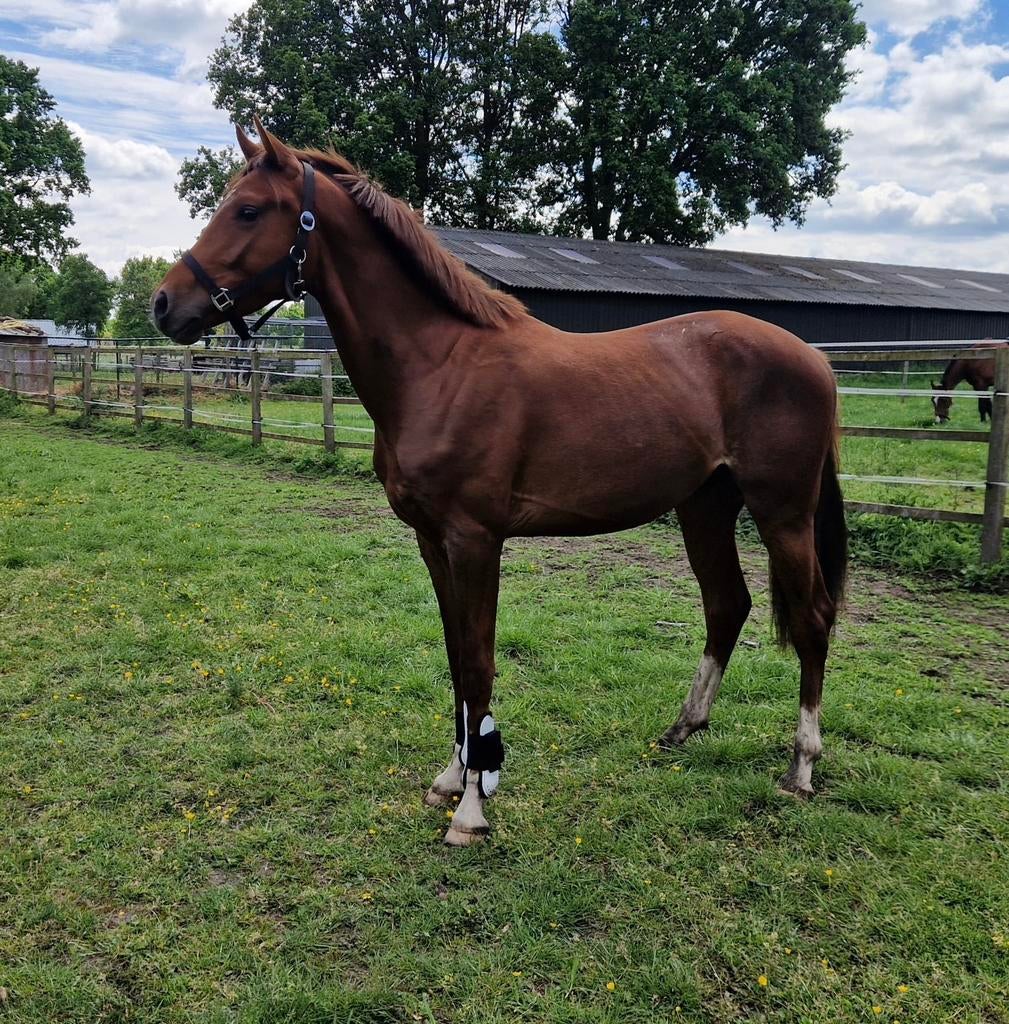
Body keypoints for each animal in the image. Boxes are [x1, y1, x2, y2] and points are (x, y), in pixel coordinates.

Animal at [152, 119, 847, 846]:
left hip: (782, 512)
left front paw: (472, 809)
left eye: (249, 210)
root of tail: (811, 359)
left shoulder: (475, 540)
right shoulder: (432, 541)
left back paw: (800, 767)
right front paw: (454, 777)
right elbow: (458, 658)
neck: (440, 365)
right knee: (726, 606)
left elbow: (479, 661)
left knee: (812, 617)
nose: (164, 304)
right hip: (704, 507)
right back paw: (684, 728)